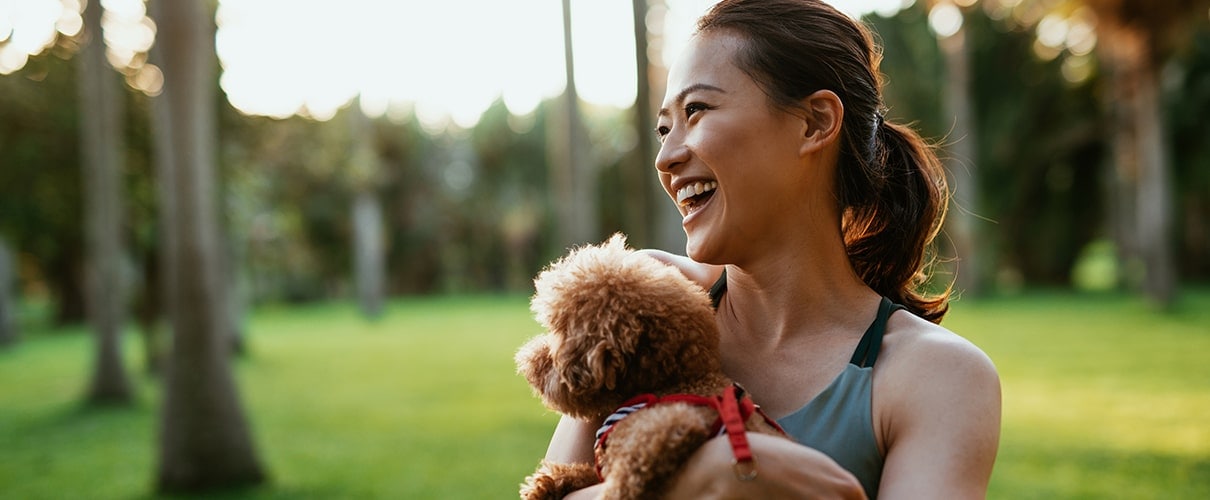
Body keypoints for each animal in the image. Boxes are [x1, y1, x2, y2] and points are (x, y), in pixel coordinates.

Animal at [517, 234, 784, 498]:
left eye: (560, 333)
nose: (527, 360)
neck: (673, 384)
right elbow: (587, 473)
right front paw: (547, 484)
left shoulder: (671, 426)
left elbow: (627, 475)